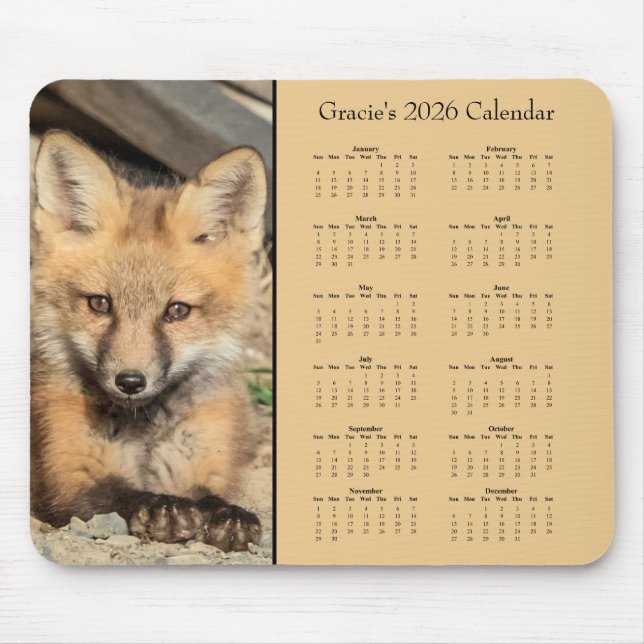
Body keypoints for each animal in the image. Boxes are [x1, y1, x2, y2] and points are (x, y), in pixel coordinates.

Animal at [31, 130, 267, 552]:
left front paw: (228, 515)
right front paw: (162, 508)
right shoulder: (67, 479)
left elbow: (212, 497)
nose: (129, 381)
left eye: (177, 311)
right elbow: (122, 494)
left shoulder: (206, 461)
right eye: (100, 303)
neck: (145, 433)